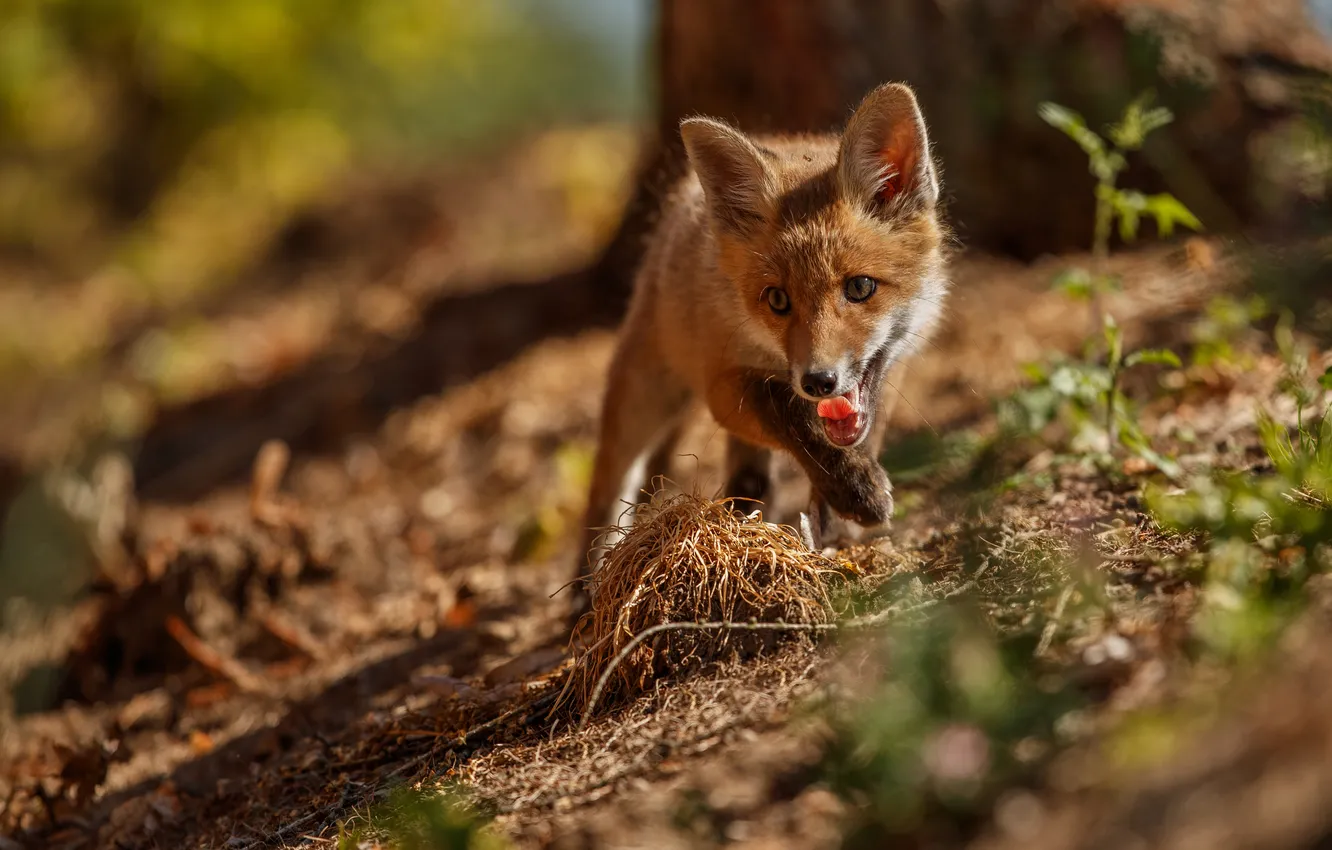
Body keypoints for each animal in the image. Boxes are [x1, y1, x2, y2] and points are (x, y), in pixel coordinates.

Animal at [578, 82, 948, 599]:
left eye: (860, 288)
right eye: (777, 299)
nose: (818, 381)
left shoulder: (892, 367)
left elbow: (860, 434)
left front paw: (839, 507)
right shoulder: (723, 385)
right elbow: (787, 413)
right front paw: (853, 489)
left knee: (746, 472)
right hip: (644, 393)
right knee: (607, 486)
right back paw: (589, 582)